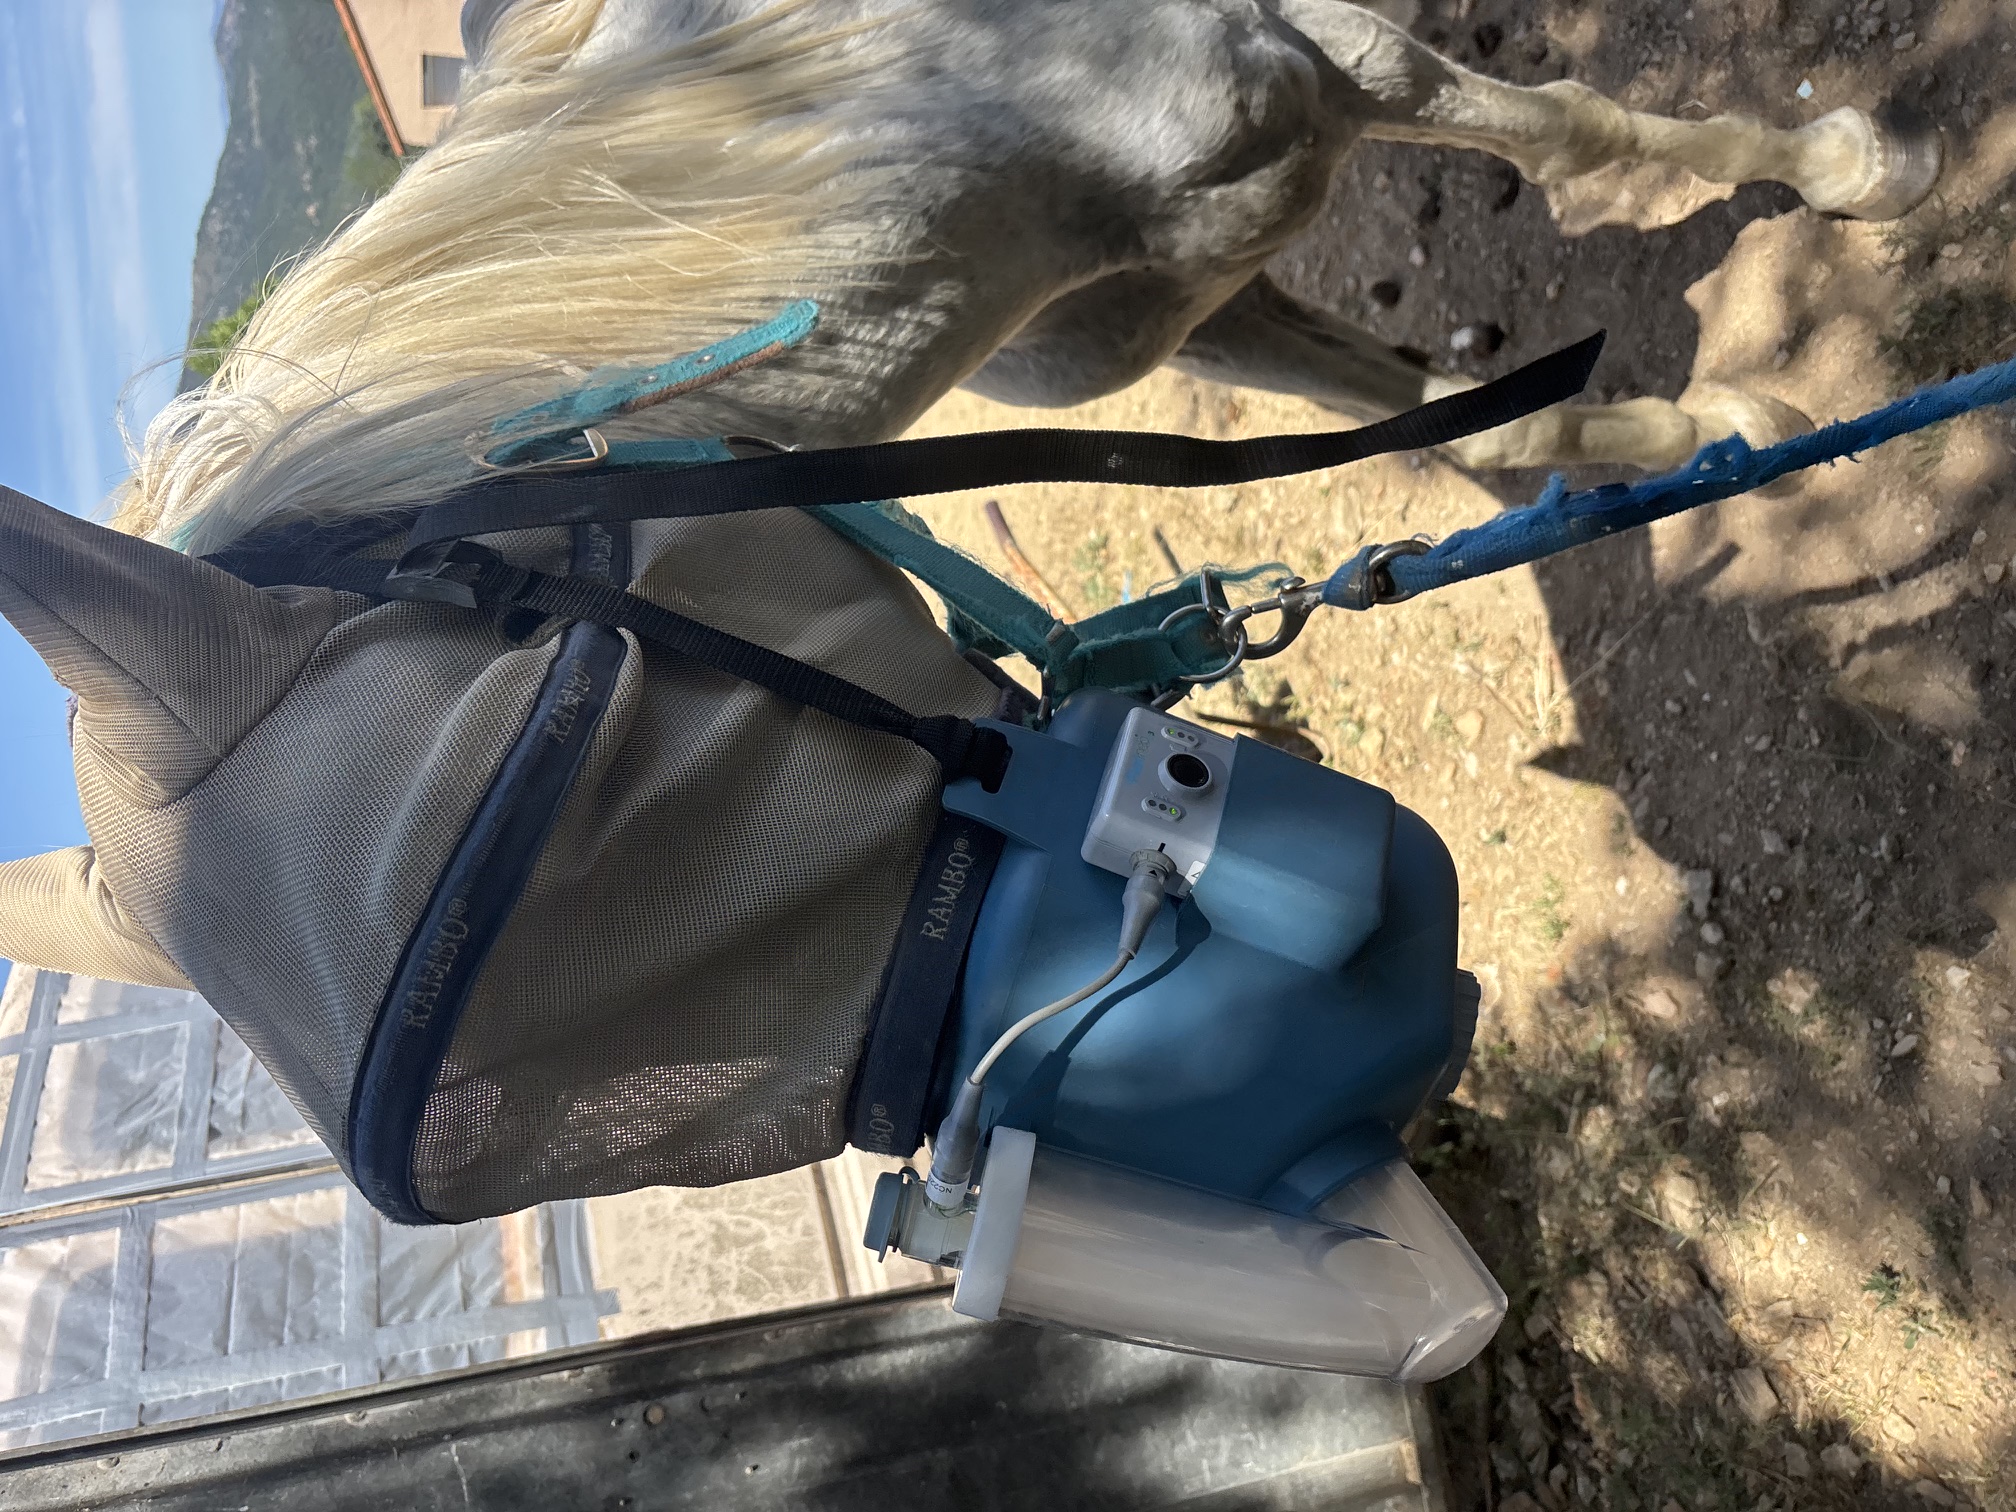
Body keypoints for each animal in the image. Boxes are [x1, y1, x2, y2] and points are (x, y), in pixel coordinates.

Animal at [0, 0, 1939, 1222]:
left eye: (577, 766)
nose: (1353, 1075)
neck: (869, 106)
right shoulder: (1189, 305)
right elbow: (1485, 424)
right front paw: (1706, 442)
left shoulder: (1322, 59)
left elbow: (1586, 124)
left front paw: (1862, 173)